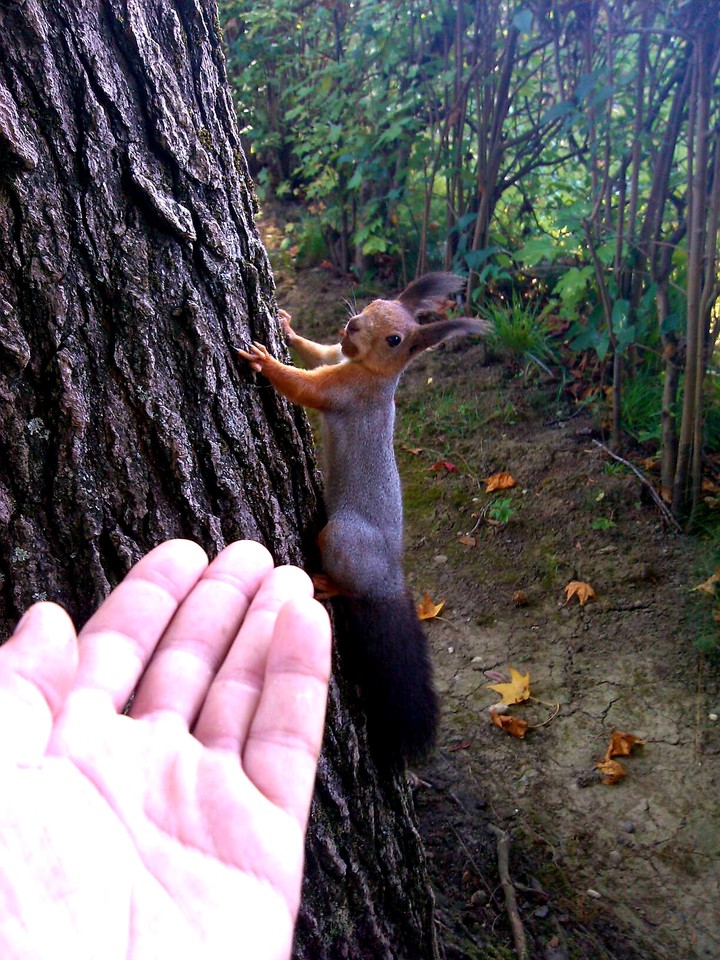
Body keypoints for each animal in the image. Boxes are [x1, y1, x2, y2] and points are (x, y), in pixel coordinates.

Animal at [238, 272, 491, 768]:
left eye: (395, 340)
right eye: (375, 302)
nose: (353, 325)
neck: (373, 373)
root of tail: (388, 579)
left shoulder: (345, 391)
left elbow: (303, 386)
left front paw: (265, 360)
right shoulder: (335, 358)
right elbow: (316, 351)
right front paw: (286, 326)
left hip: (342, 537)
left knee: (347, 584)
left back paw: (327, 582)